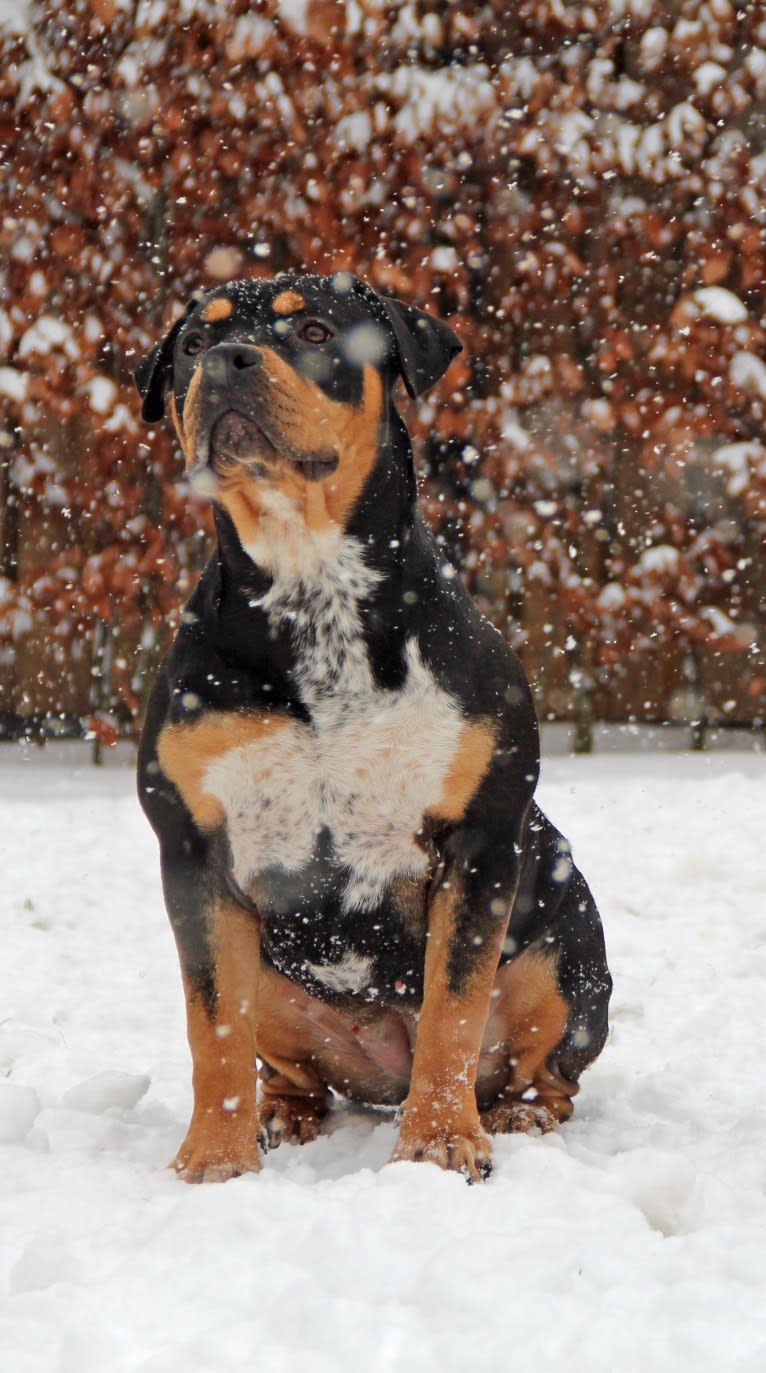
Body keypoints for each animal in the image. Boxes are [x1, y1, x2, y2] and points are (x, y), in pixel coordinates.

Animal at [133, 270, 612, 1180]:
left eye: (316, 328)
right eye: (192, 342)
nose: (227, 358)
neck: (311, 583)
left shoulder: (479, 841)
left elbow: (453, 1008)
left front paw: (442, 1138)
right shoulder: (194, 851)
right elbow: (212, 1024)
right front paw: (214, 1153)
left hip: (565, 948)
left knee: (546, 1061)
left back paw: (519, 1112)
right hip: (277, 976)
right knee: (281, 1059)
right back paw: (280, 1114)